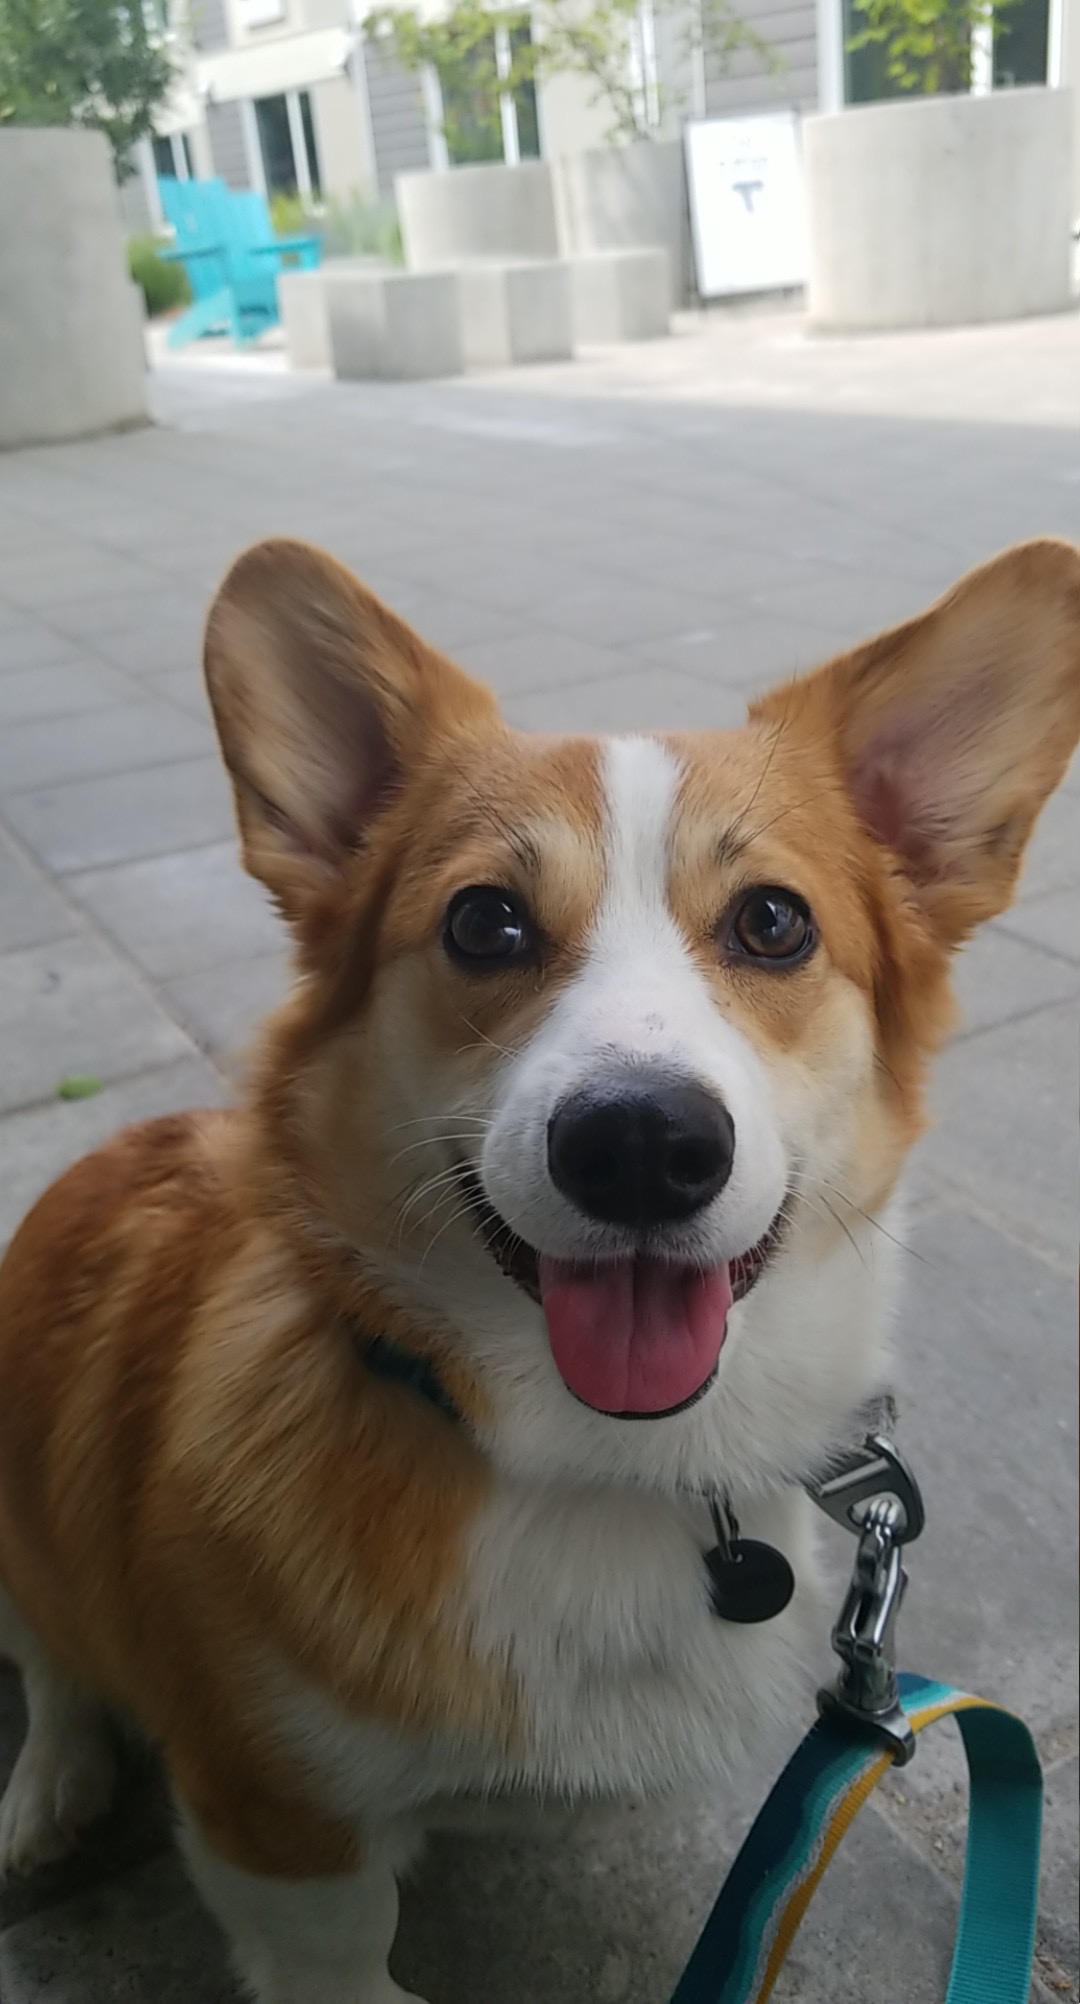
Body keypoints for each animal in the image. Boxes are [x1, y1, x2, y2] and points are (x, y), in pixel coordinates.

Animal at [0, 536, 1077, 2003]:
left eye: (775, 923)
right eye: (485, 925)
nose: (640, 1146)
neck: (605, 1469)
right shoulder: (276, 1821)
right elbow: (344, 1960)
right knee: (53, 1651)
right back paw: (50, 1786)